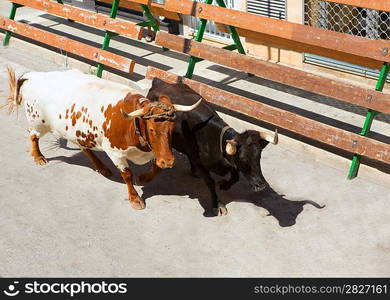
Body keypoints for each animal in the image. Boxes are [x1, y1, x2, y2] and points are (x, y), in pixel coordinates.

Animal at [6, 68, 201, 210]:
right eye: (152, 129)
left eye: (172, 129)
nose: (169, 161)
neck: (132, 124)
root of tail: (34, 76)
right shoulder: (115, 152)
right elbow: (127, 174)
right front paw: (135, 198)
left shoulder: (157, 150)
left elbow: (156, 168)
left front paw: (144, 178)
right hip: (38, 121)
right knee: (32, 136)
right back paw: (38, 156)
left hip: (78, 132)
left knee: (84, 147)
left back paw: (101, 167)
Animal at [146, 77, 278, 216]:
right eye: (243, 158)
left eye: (259, 156)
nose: (261, 185)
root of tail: (159, 81)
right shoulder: (201, 163)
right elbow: (210, 182)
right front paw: (217, 204)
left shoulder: (229, 161)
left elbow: (235, 177)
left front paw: (225, 185)